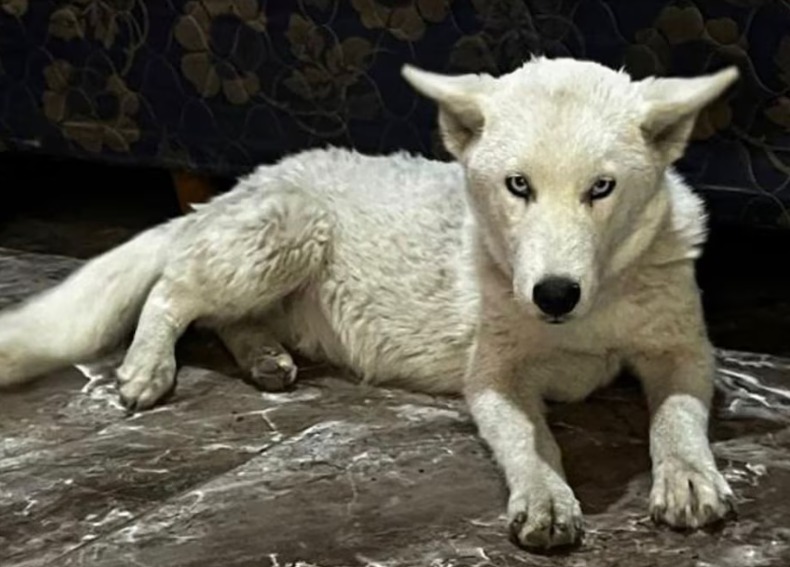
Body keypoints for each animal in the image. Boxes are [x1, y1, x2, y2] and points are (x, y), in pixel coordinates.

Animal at [0, 57, 739, 550]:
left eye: (602, 188)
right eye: (518, 185)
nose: (554, 293)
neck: (593, 307)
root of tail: (245, 181)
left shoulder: (684, 351)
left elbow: (677, 417)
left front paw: (687, 477)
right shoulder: (494, 375)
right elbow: (532, 440)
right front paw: (546, 495)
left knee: (225, 316)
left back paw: (265, 357)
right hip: (286, 231)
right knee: (173, 291)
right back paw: (147, 367)